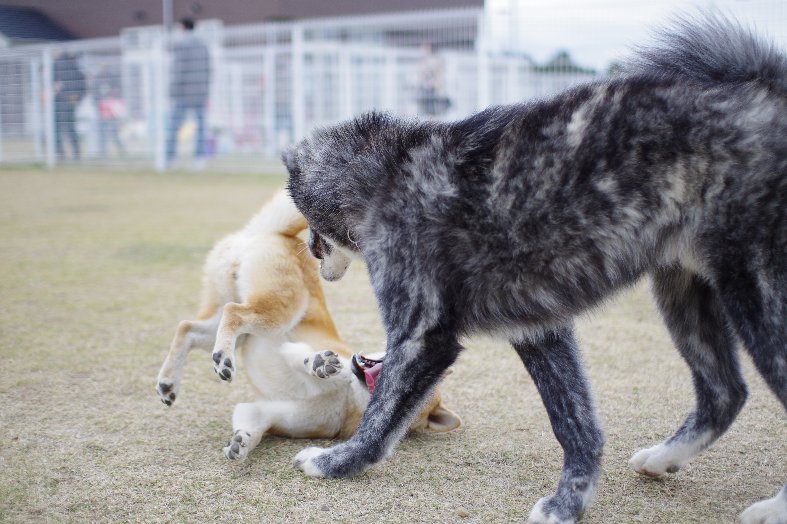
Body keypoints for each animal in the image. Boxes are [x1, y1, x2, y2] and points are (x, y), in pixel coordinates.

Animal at [155, 189, 462, 458]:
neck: (349, 397)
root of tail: (276, 234)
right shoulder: (304, 350)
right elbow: (306, 358)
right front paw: (319, 364)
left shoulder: (265, 412)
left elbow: (253, 428)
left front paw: (242, 443)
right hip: (277, 315)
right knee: (233, 313)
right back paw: (222, 359)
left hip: (229, 322)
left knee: (187, 327)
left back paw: (169, 382)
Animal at [284, 14, 787, 520]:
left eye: (310, 226)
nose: (310, 251)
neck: (385, 171)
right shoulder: (539, 330)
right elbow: (575, 423)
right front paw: (571, 501)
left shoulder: (422, 339)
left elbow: (380, 417)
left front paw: (335, 462)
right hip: (682, 291)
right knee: (725, 393)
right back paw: (663, 458)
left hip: (757, 295)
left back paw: (772, 507)